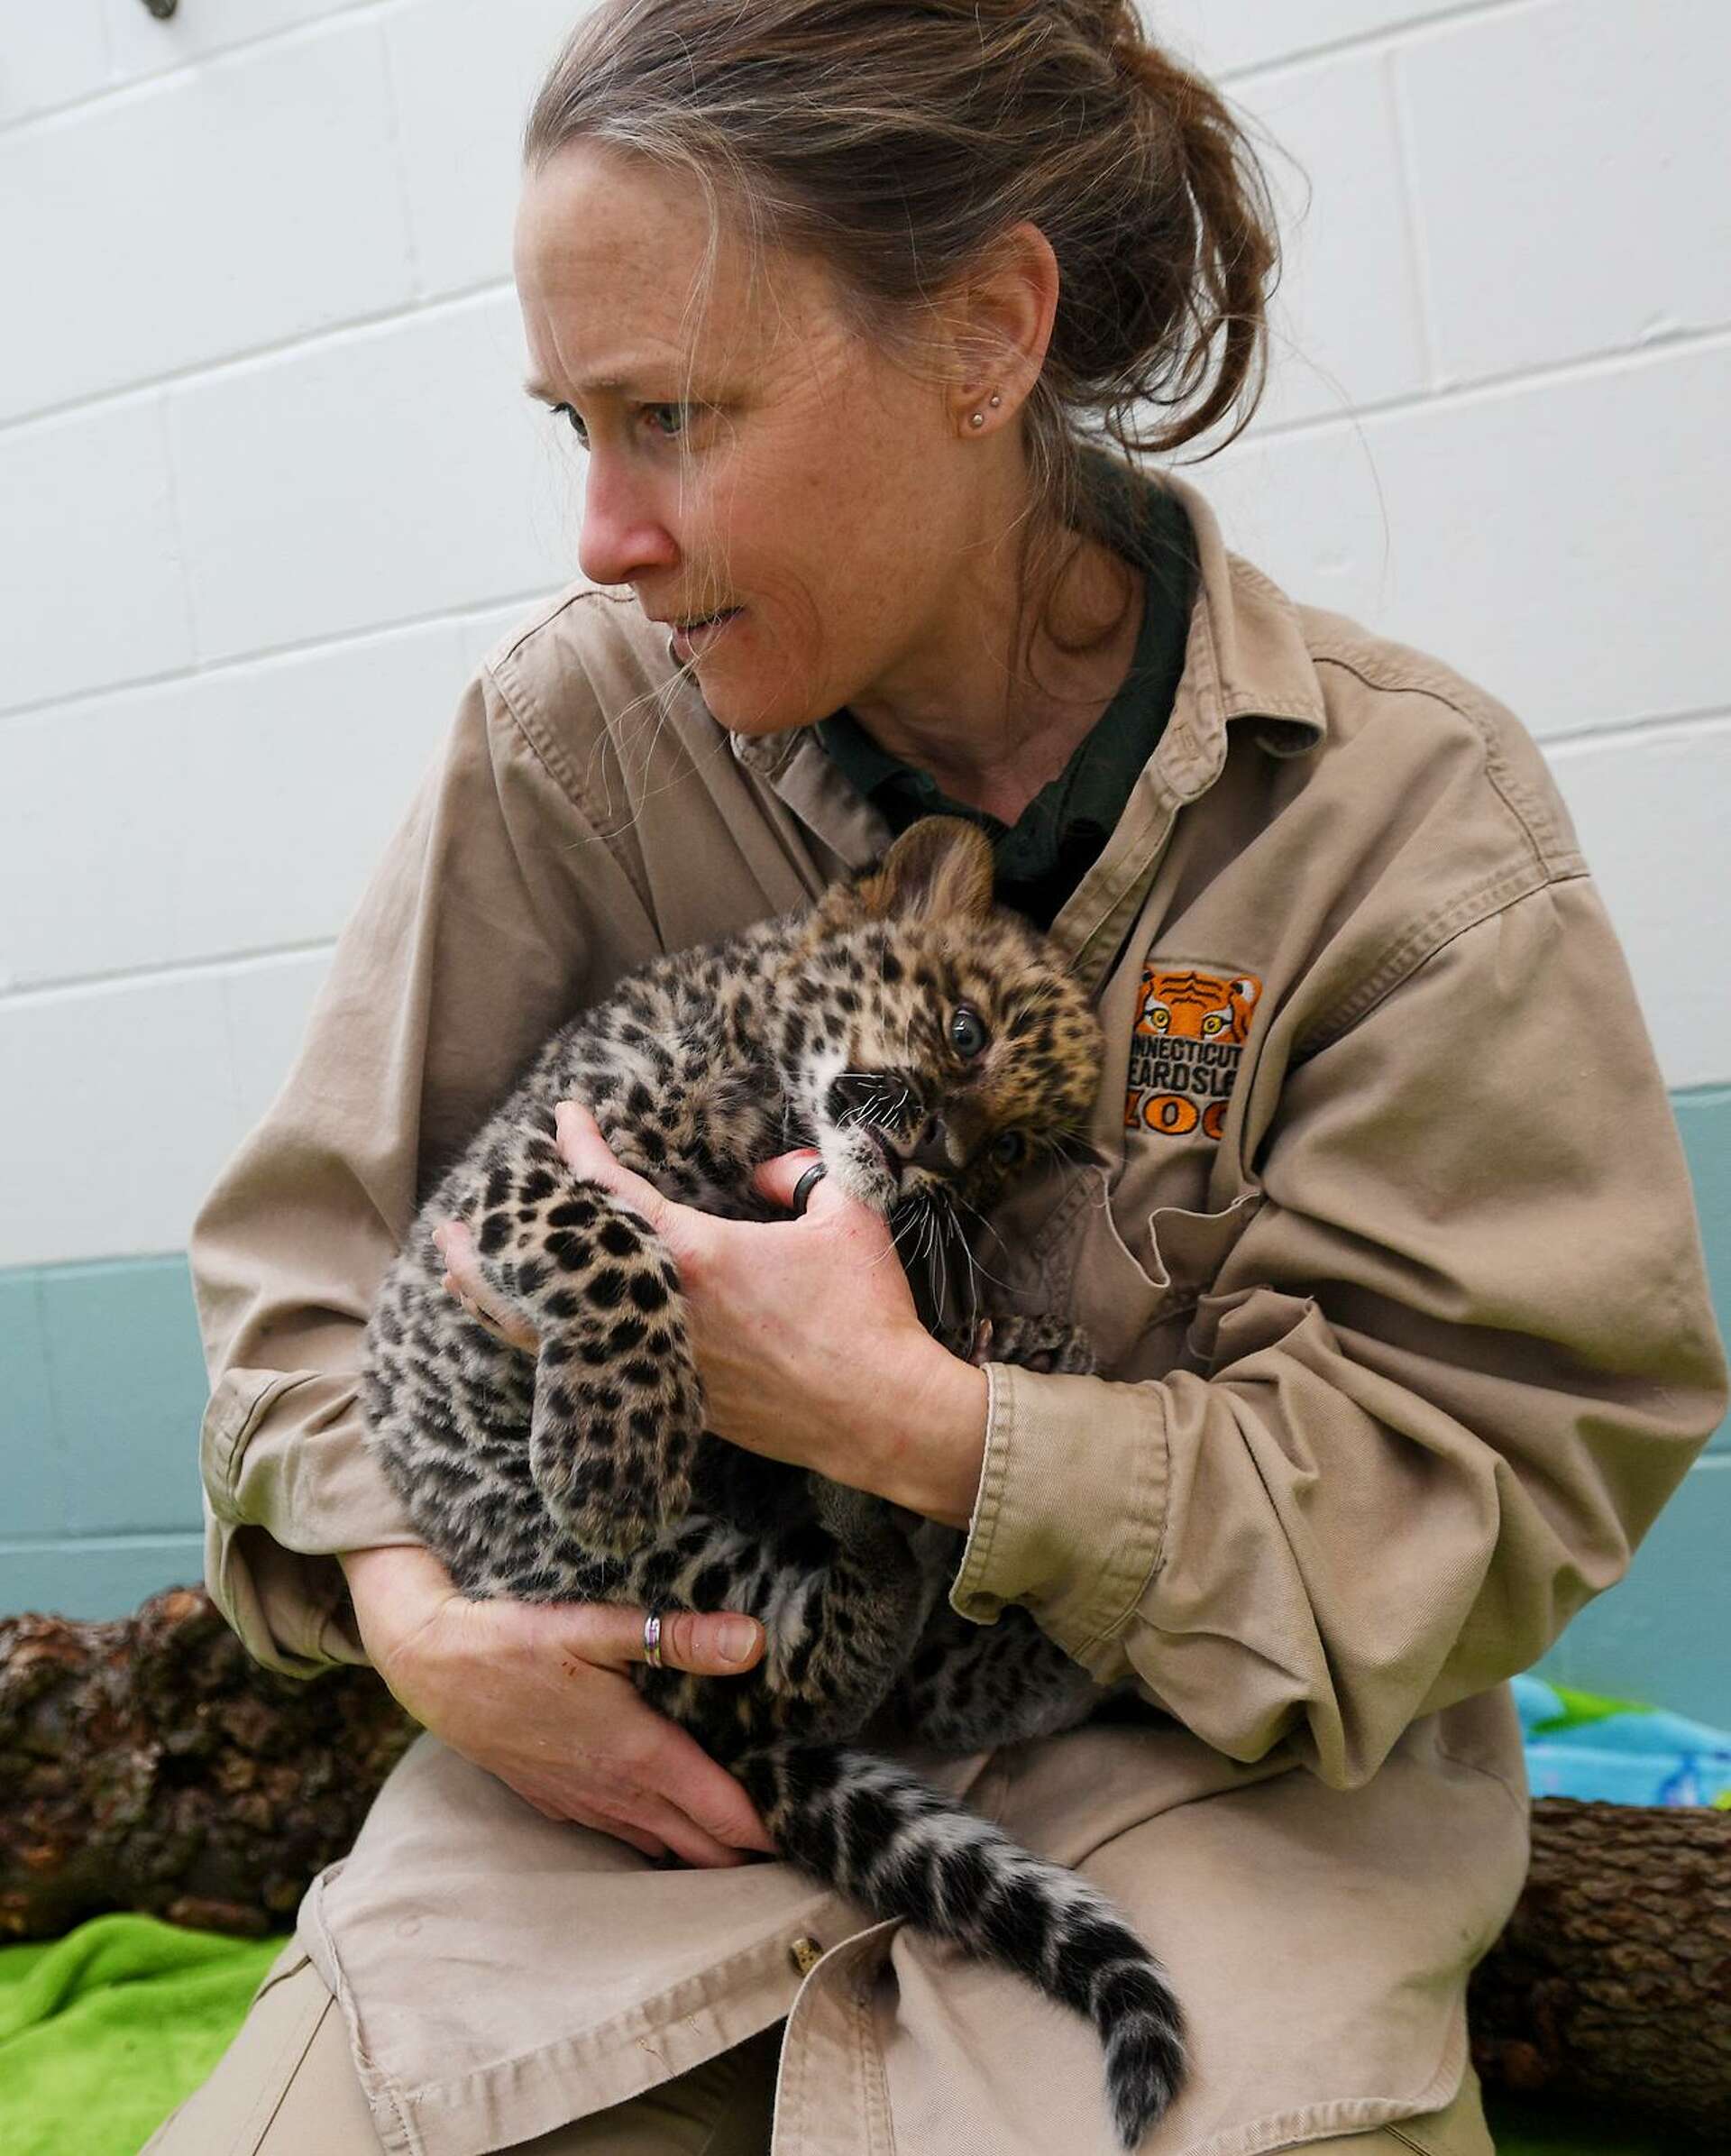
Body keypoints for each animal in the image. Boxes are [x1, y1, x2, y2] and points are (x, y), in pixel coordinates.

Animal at [361, 815, 1185, 2147]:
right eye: (966, 1033)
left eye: (1009, 1150)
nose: (944, 1150)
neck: (760, 1091)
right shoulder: (534, 1160)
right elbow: (612, 1237)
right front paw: (617, 1439)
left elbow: (914, 1315)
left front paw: (1004, 1342)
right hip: (631, 1576)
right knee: (816, 1666)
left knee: (903, 1662)